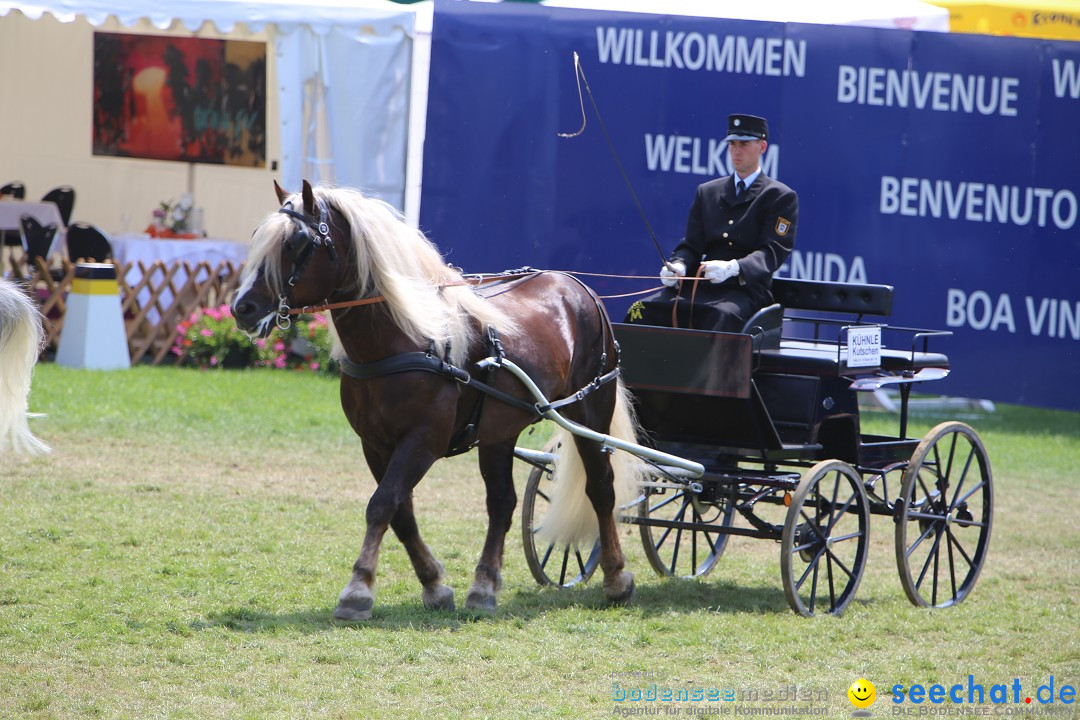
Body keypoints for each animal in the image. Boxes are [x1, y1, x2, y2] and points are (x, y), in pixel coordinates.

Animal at [232, 181, 635, 621]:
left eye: (298, 243)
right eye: (257, 237)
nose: (242, 308)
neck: (403, 340)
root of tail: (581, 288)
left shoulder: (423, 440)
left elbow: (382, 504)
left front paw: (358, 590)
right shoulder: (375, 445)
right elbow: (400, 514)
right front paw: (435, 585)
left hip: (590, 408)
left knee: (601, 488)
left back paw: (616, 578)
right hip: (499, 431)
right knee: (502, 502)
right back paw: (484, 586)